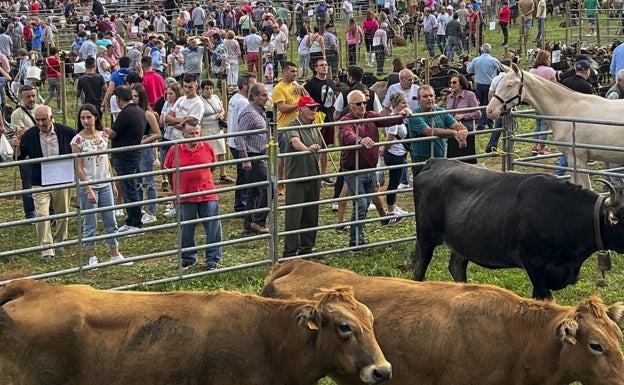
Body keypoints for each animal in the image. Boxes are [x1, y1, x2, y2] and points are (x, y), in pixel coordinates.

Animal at [410, 158, 624, 298]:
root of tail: (438, 161)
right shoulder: (534, 264)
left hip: (461, 241)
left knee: (457, 267)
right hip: (426, 236)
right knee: (419, 267)